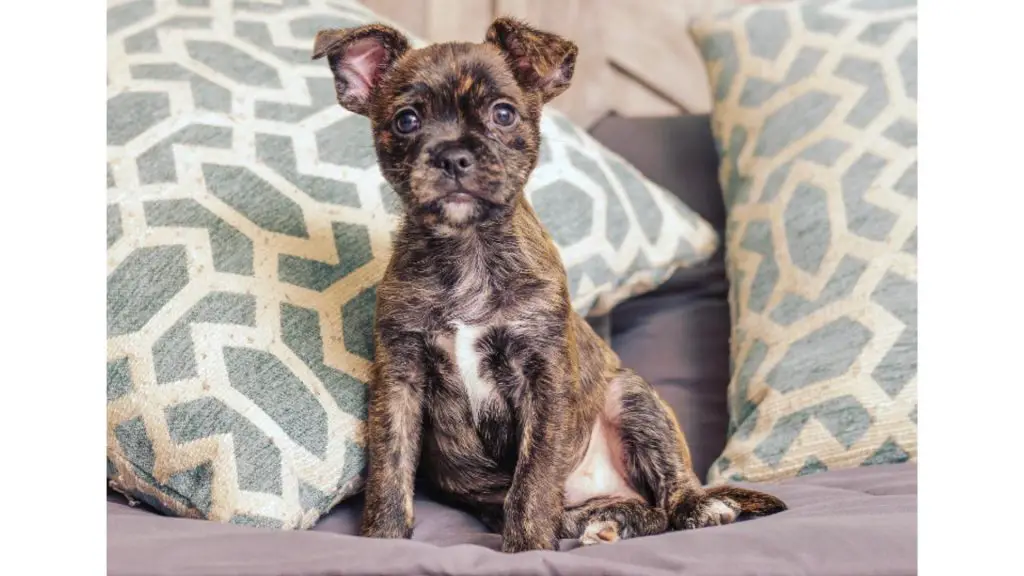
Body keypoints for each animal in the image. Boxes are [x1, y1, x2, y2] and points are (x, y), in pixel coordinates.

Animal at [309, 15, 782, 549]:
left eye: (503, 113)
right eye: (405, 120)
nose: (452, 156)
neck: (468, 250)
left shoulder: (544, 379)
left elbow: (533, 480)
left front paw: (526, 548)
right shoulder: (400, 378)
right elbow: (390, 470)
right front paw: (384, 539)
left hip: (633, 398)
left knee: (671, 495)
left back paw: (698, 507)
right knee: (634, 514)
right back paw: (610, 523)